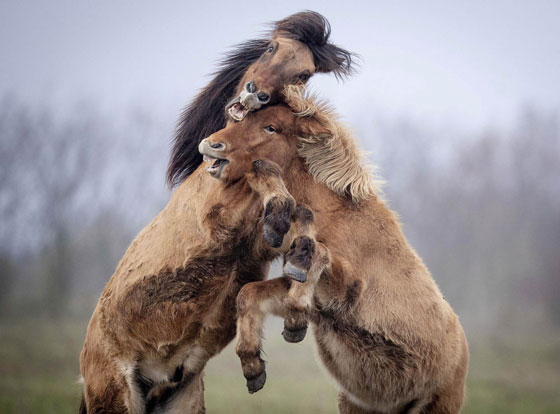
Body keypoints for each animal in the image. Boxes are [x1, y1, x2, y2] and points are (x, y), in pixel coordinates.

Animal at [203, 85, 470, 412]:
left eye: (271, 127)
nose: (210, 145)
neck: (337, 217)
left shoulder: (347, 289)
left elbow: (319, 254)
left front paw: (294, 320)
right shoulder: (315, 298)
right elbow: (248, 293)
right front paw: (253, 365)